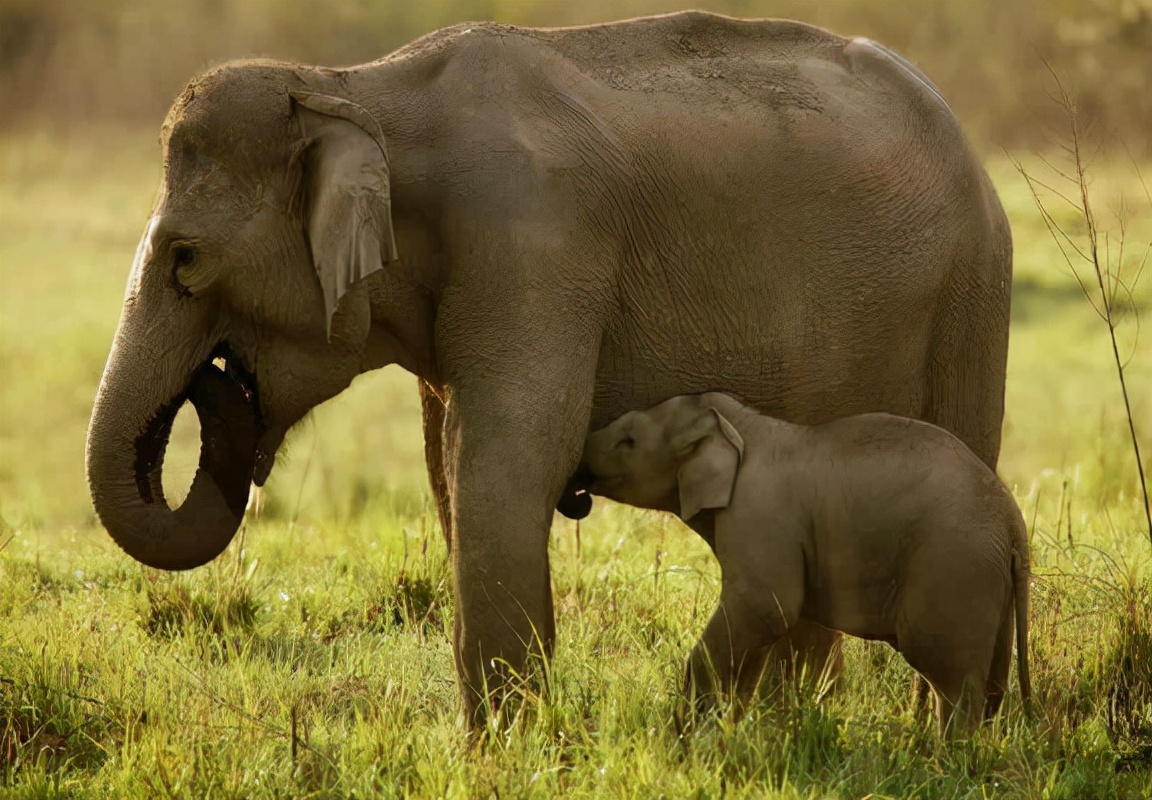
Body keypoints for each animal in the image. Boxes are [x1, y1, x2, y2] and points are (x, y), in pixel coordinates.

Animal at [580, 391, 1032, 737]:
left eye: (628, 440)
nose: (576, 479)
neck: (743, 424)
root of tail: (1012, 522)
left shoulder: (760, 513)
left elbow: (765, 608)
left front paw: (686, 738)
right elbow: (757, 633)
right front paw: (725, 729)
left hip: (954, 567)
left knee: (952, 679)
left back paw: (946, 760)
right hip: (989, 581)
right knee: (991, 684)